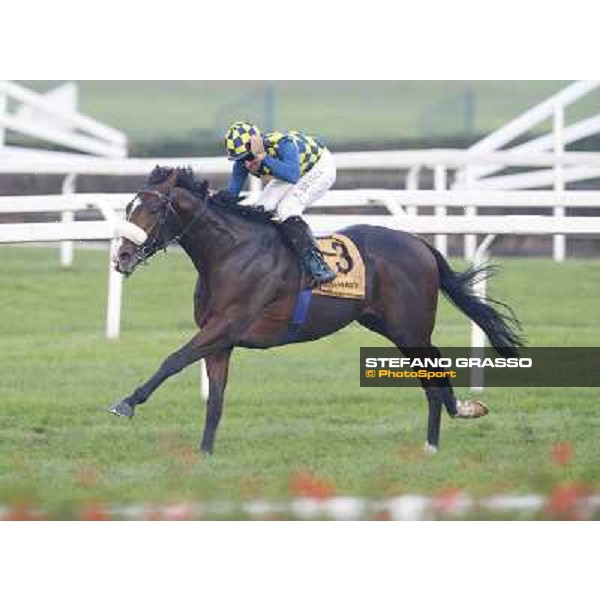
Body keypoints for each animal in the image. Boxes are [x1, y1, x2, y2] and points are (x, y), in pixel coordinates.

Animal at [110, 166, 524, 452]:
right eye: (129, 206)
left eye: (152, 209)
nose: (122, 256)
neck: (229, 252)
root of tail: (419, 243)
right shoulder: (220, 339)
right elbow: (215, 398)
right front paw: (205, 454)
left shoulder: (226, 325)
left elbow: (174, 359)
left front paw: (126, 403)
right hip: (388, 325)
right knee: (431, 374)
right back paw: (449, 423)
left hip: (410, 328)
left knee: (433, 371)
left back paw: (437, 438)